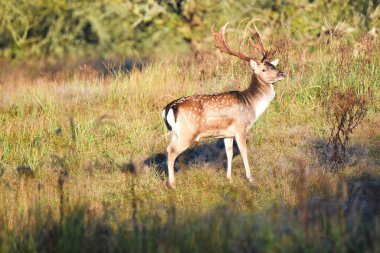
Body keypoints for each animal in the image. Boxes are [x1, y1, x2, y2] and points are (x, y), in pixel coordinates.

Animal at [162, 23, 286, 188]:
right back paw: (172, 184)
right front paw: (250, 178)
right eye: (264, 69)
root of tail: (169, 108)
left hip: (175, 133)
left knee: (167, 149)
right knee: (171, 152)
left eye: (273, 65)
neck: (251, 104)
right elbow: (244, 151)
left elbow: (228, 152)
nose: (282, 74)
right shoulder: (240, 127)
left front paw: (229, 178)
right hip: (187, 133)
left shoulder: (227, 133)